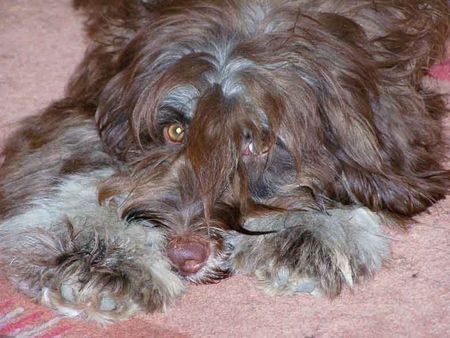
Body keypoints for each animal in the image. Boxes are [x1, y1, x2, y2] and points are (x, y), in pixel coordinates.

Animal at [0, 0, 448, 322]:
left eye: (255, 145)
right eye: (175, 132)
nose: (185, 256)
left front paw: (310, 233)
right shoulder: (100, 100)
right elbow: (82, 170)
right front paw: (100, 258)